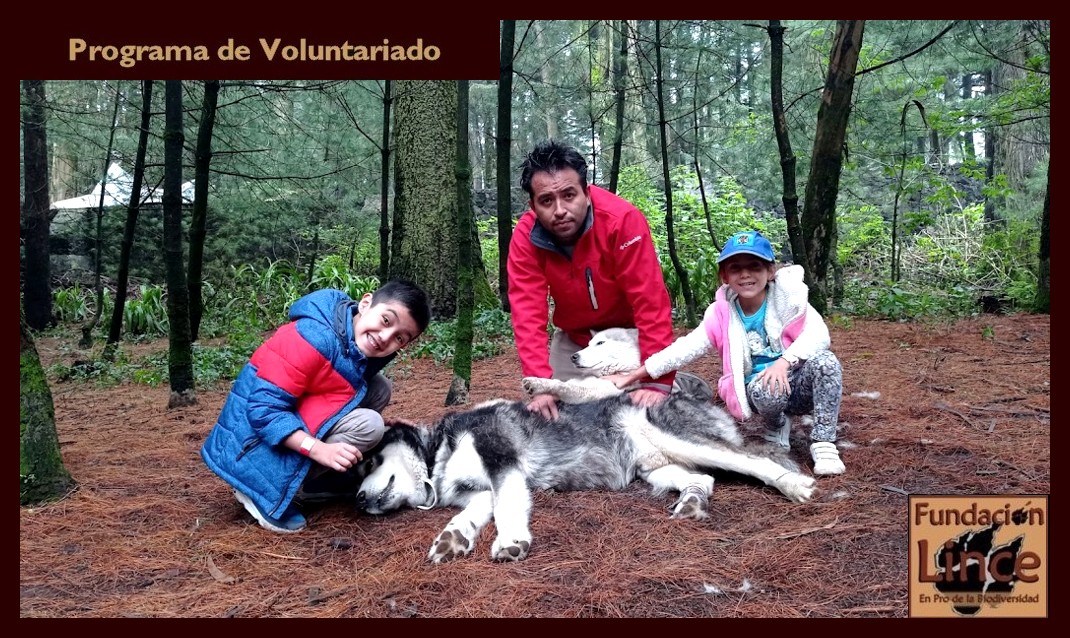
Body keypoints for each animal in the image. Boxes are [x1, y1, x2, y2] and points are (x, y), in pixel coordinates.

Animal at [353, 393, 816, 564]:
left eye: (370, 460)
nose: (357, 499)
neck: (439, 452)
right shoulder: (479, 490)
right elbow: (472, 513)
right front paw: (452, 538)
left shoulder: (504, 466)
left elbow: (507, 509)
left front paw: (511, 540)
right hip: (656, 466)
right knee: (703, 479)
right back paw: (692, 503)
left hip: (683, 441)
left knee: (752, 461)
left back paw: (795, 485)